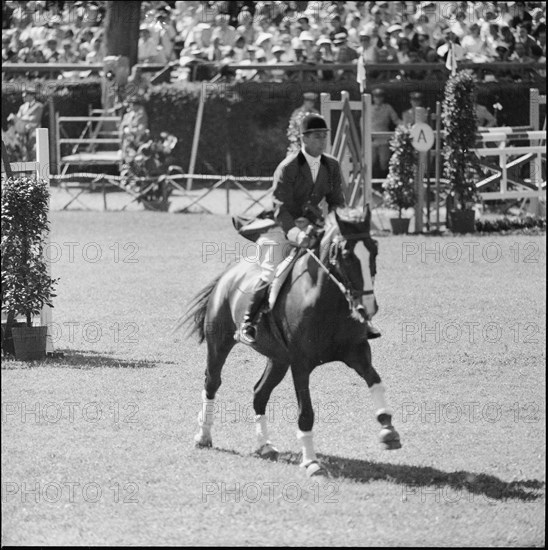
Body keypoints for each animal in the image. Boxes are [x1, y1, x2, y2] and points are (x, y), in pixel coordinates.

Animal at [182, 207, 400, 478]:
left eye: (374, 249)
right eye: (347, 255)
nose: (368, 307)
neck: (327, 301)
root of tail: (230, 274)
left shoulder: (357, 352)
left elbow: (376, 381)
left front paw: (388, 429)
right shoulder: (301, 364)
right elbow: (305, 412)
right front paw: (311, 462)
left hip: (278, 359)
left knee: (259, 393)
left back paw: (264, 445)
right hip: (219, 343)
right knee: (212, 383)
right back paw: (203, 436)